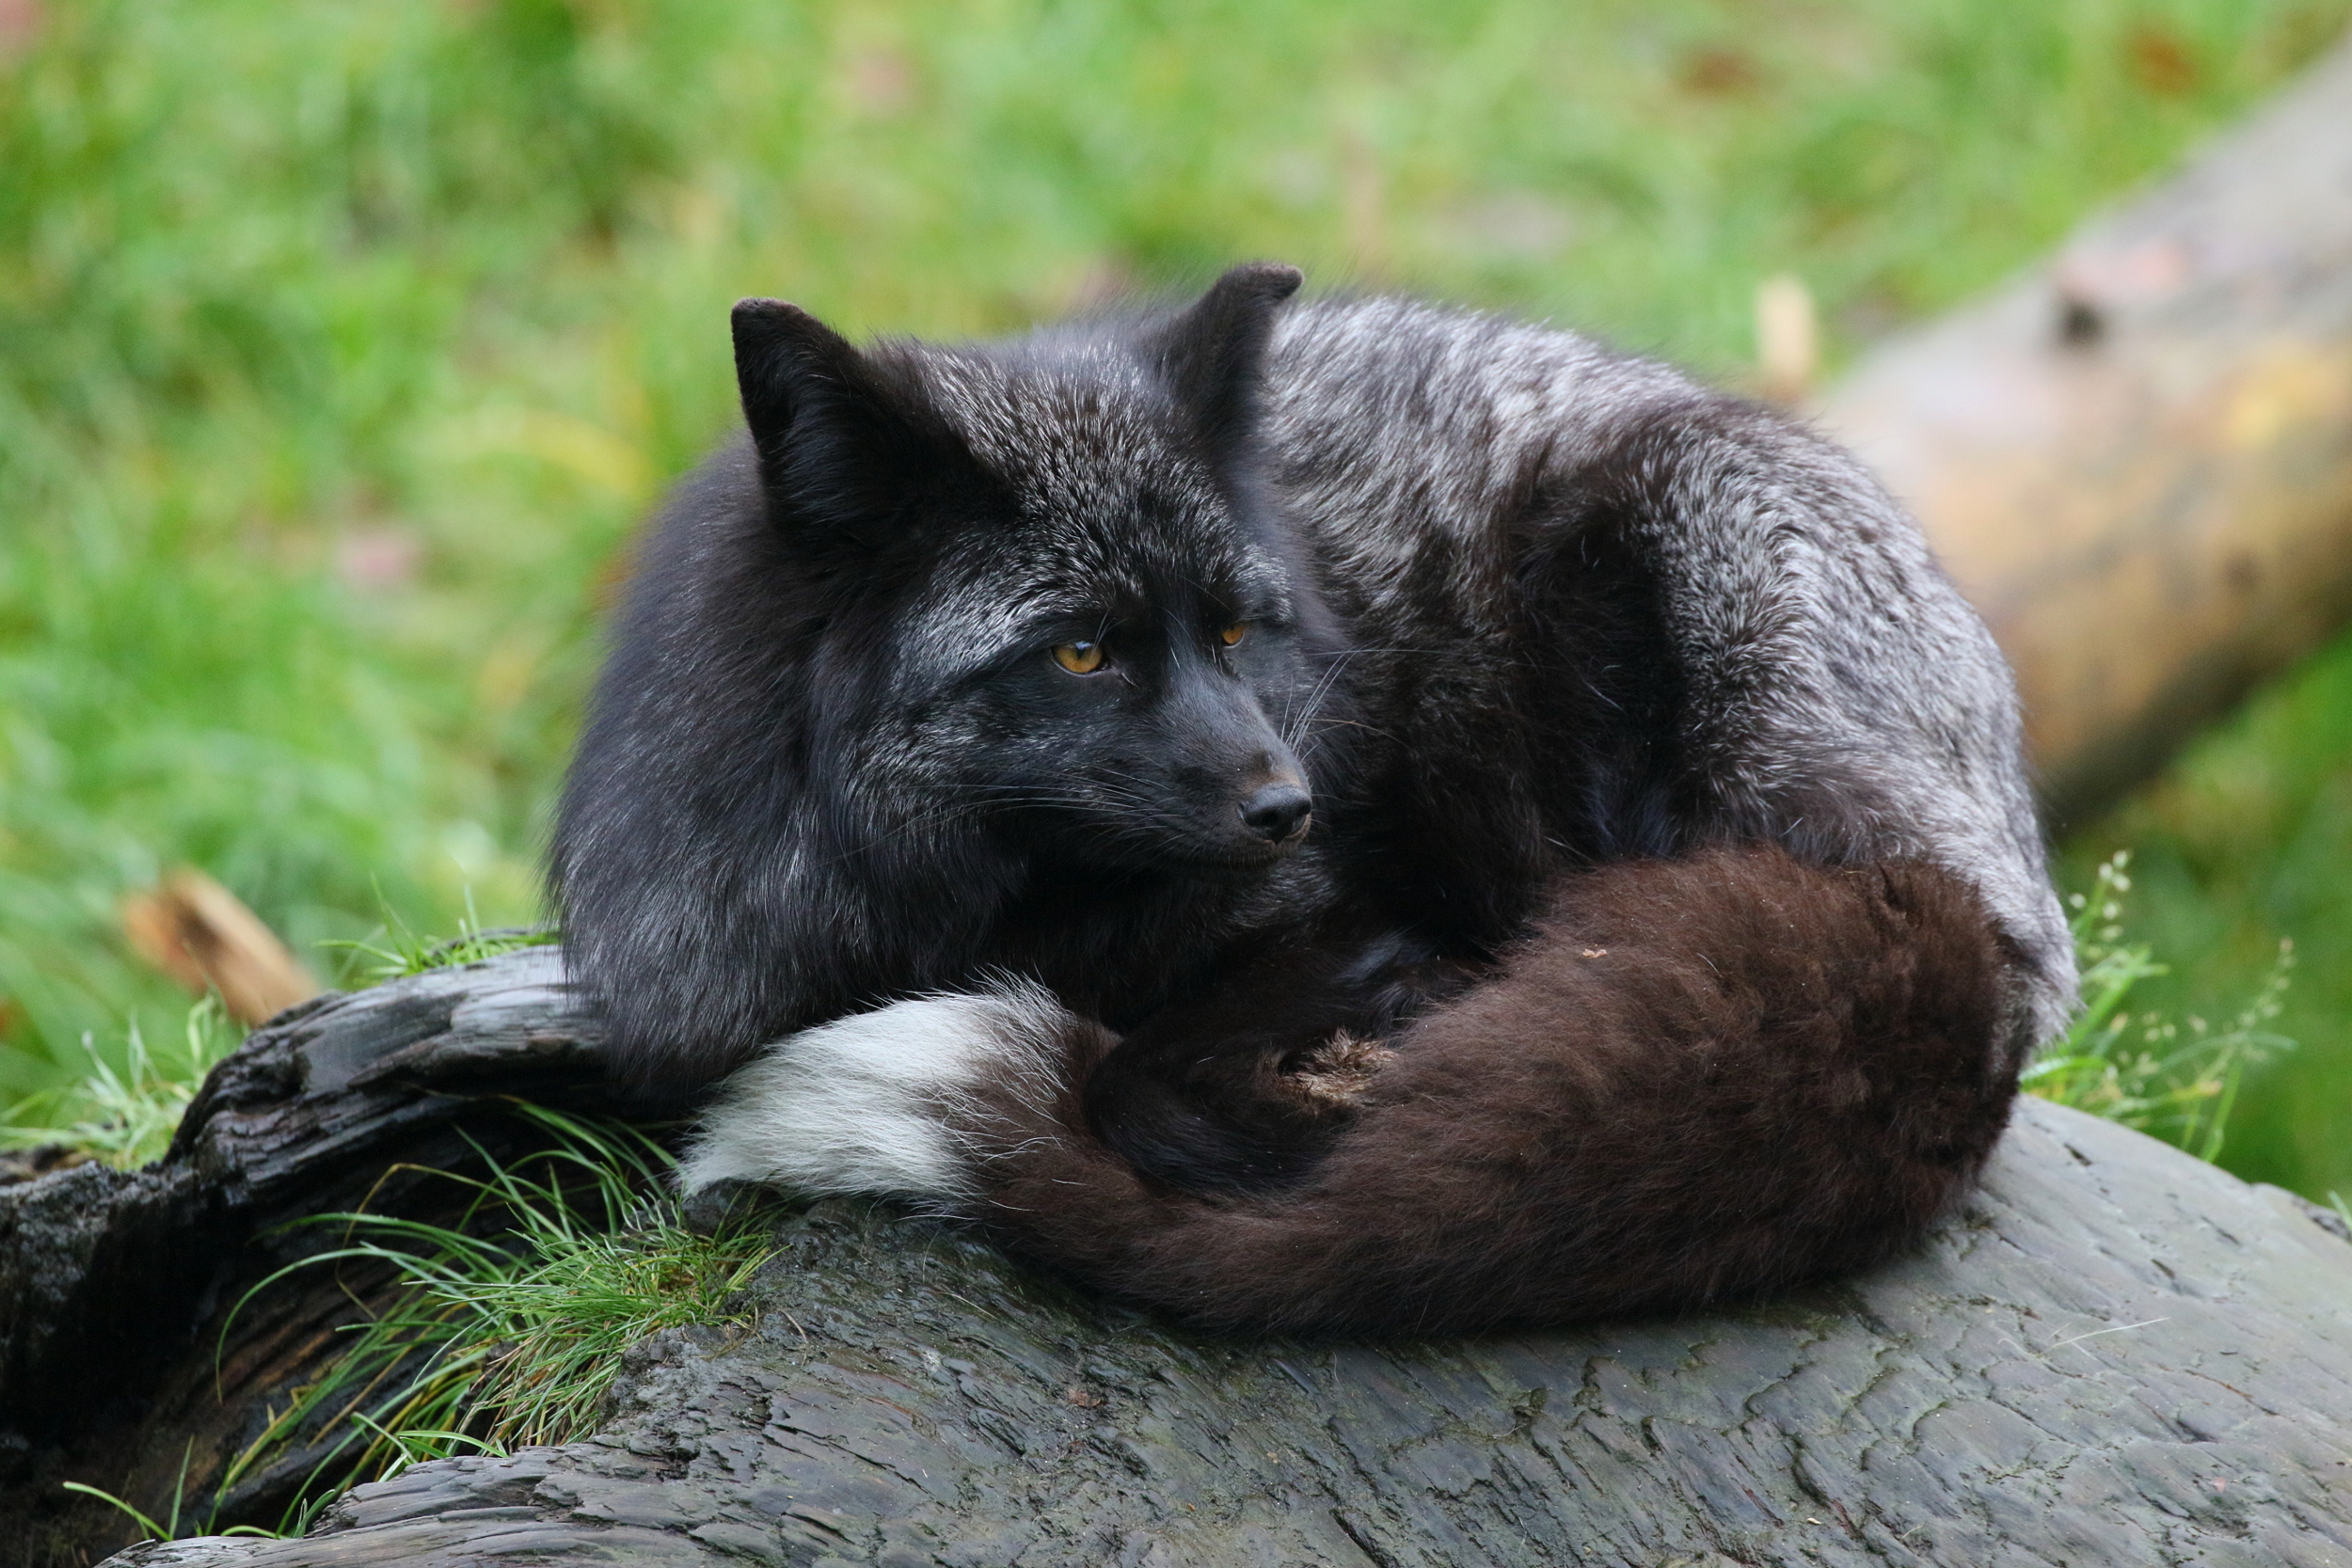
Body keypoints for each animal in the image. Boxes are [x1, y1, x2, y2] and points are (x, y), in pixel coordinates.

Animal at [555, 261, 2079, 1335]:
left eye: (1236, 630)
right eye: (1081, 650)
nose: (1293, 804)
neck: (962, 915)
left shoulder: (1337, 910)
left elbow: (1133, 1076)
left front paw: (1362, 1089)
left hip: (1660, 581)